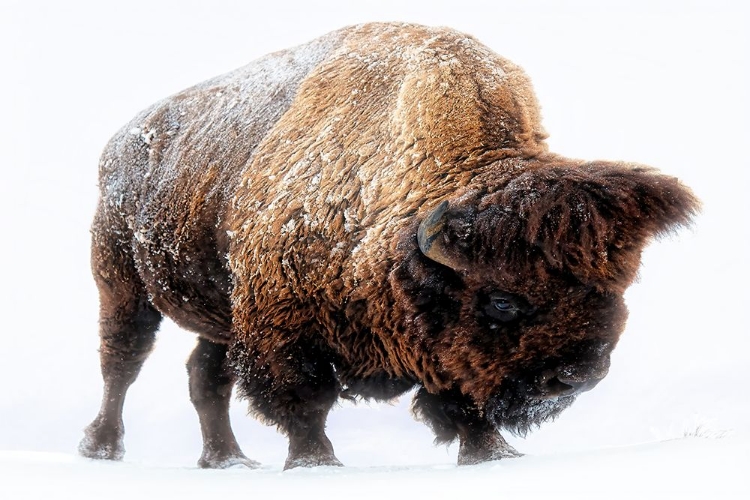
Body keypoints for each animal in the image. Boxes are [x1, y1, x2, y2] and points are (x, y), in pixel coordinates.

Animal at [79, 23, 704, 468]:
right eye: (503, 301)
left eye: (616, 287)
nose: (577, 375)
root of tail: (120, 142)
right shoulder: (281, 327)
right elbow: (305, 400)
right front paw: (316, 464)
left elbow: (462, 400)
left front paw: (495, 454)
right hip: (122, 283)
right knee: (122, 364)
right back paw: (102, 447)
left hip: (218, 315)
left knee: (205, 377)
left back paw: (228, 461)